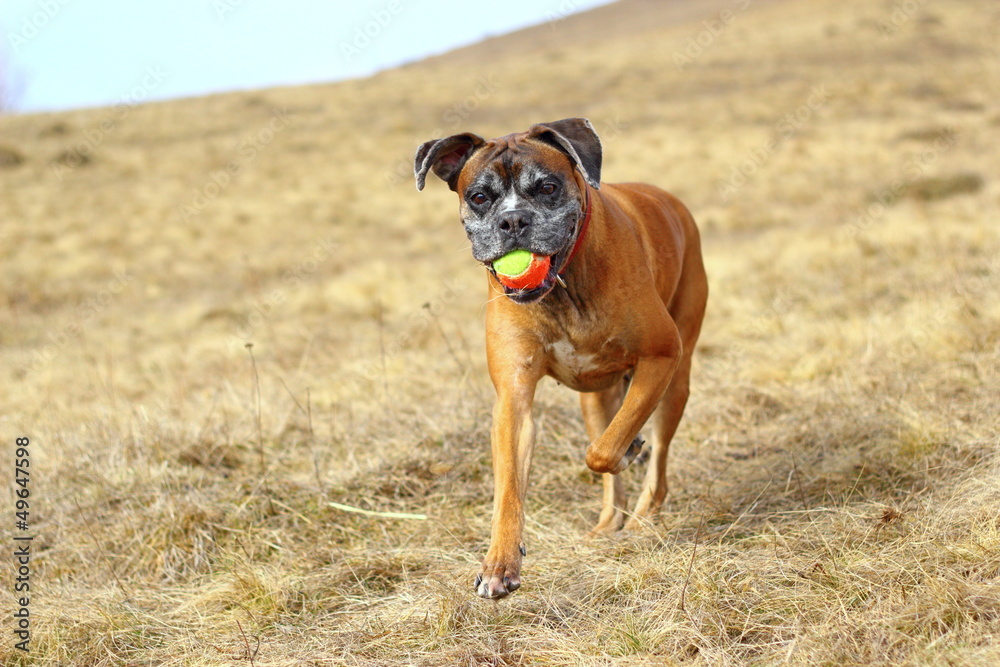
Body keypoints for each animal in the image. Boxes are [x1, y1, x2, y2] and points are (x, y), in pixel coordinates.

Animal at [416, 116, 712, 600]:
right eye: (479, 197)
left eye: (548, 187)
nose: (513, 220)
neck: (563, 288)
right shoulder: (513, 400)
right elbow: (510, 488)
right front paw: (499, 562)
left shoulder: (660, 356)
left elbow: (604, 452)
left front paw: (629, 449)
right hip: (595, 400)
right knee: (611, 461)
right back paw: (609, 523)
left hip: (676, 382)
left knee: (656, 466)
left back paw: (643, 517)